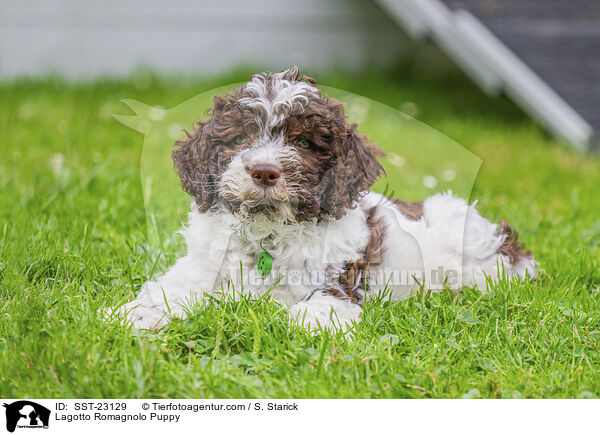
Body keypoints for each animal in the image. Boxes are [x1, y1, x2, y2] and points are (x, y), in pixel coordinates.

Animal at [109, 68, 540, 332]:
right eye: (241, 138)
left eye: (302, 143)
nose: (264, 171)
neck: (268, 234)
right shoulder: (203, 264)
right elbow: (173, 287)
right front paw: (134, 314)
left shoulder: (337, 278)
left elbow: (319, 308)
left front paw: (298, 325)